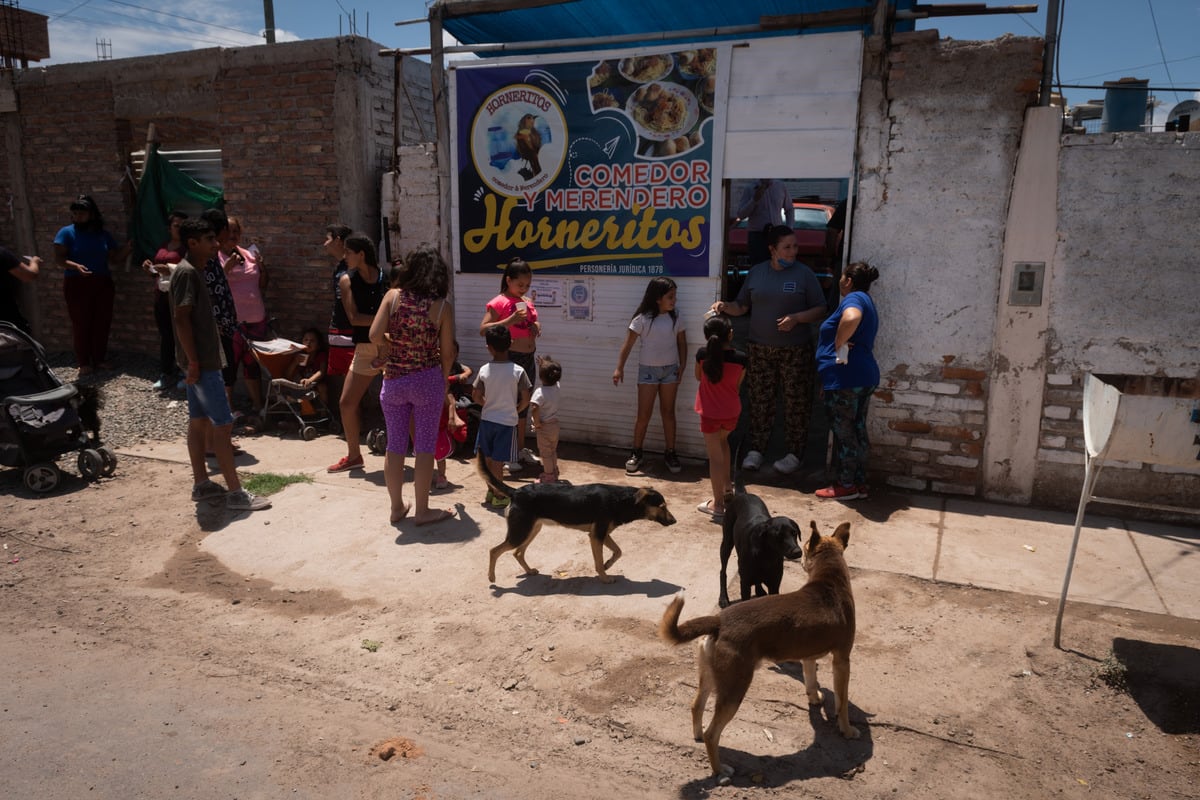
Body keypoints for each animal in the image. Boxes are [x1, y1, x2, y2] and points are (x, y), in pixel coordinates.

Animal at [482, 450, 681, 587]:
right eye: (662, 507)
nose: (674, 521)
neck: (622, 500)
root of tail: (516, 492)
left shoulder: (602, 534)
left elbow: (618, 551)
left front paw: (608, 565)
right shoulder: (596, 536)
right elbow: (599, 561)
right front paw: (604, 577)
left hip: (531, 530)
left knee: (517, 552)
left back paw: (529, 571)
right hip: (520, 532)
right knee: (493, 550)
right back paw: (491, 578)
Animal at [662, 522, 859, 777]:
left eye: (804, 546)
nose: (798, 555)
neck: (829, 580)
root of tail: (719, 620)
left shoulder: (807, 656)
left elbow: (810, 680)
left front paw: (815, 697)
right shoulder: (842, 659)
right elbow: (842, 702)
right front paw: (847, 730)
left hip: (710, 676)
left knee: (696, 706)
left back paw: (696, 735)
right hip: (734, 688)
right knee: (712, 734)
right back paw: (720, 770)